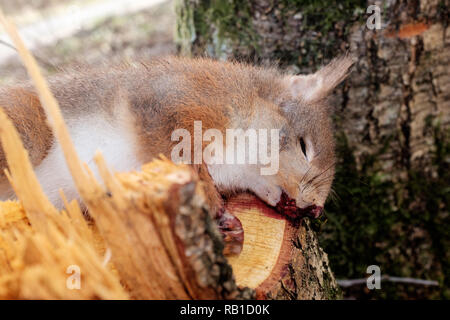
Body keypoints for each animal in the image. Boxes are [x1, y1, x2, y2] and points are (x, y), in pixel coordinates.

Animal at [0, 55, 352, 255]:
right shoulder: (171, 105)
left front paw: (229, 232)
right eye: (304, 146)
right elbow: (180, 157)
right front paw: (213, 206)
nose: (315, 210)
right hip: (25, 134)